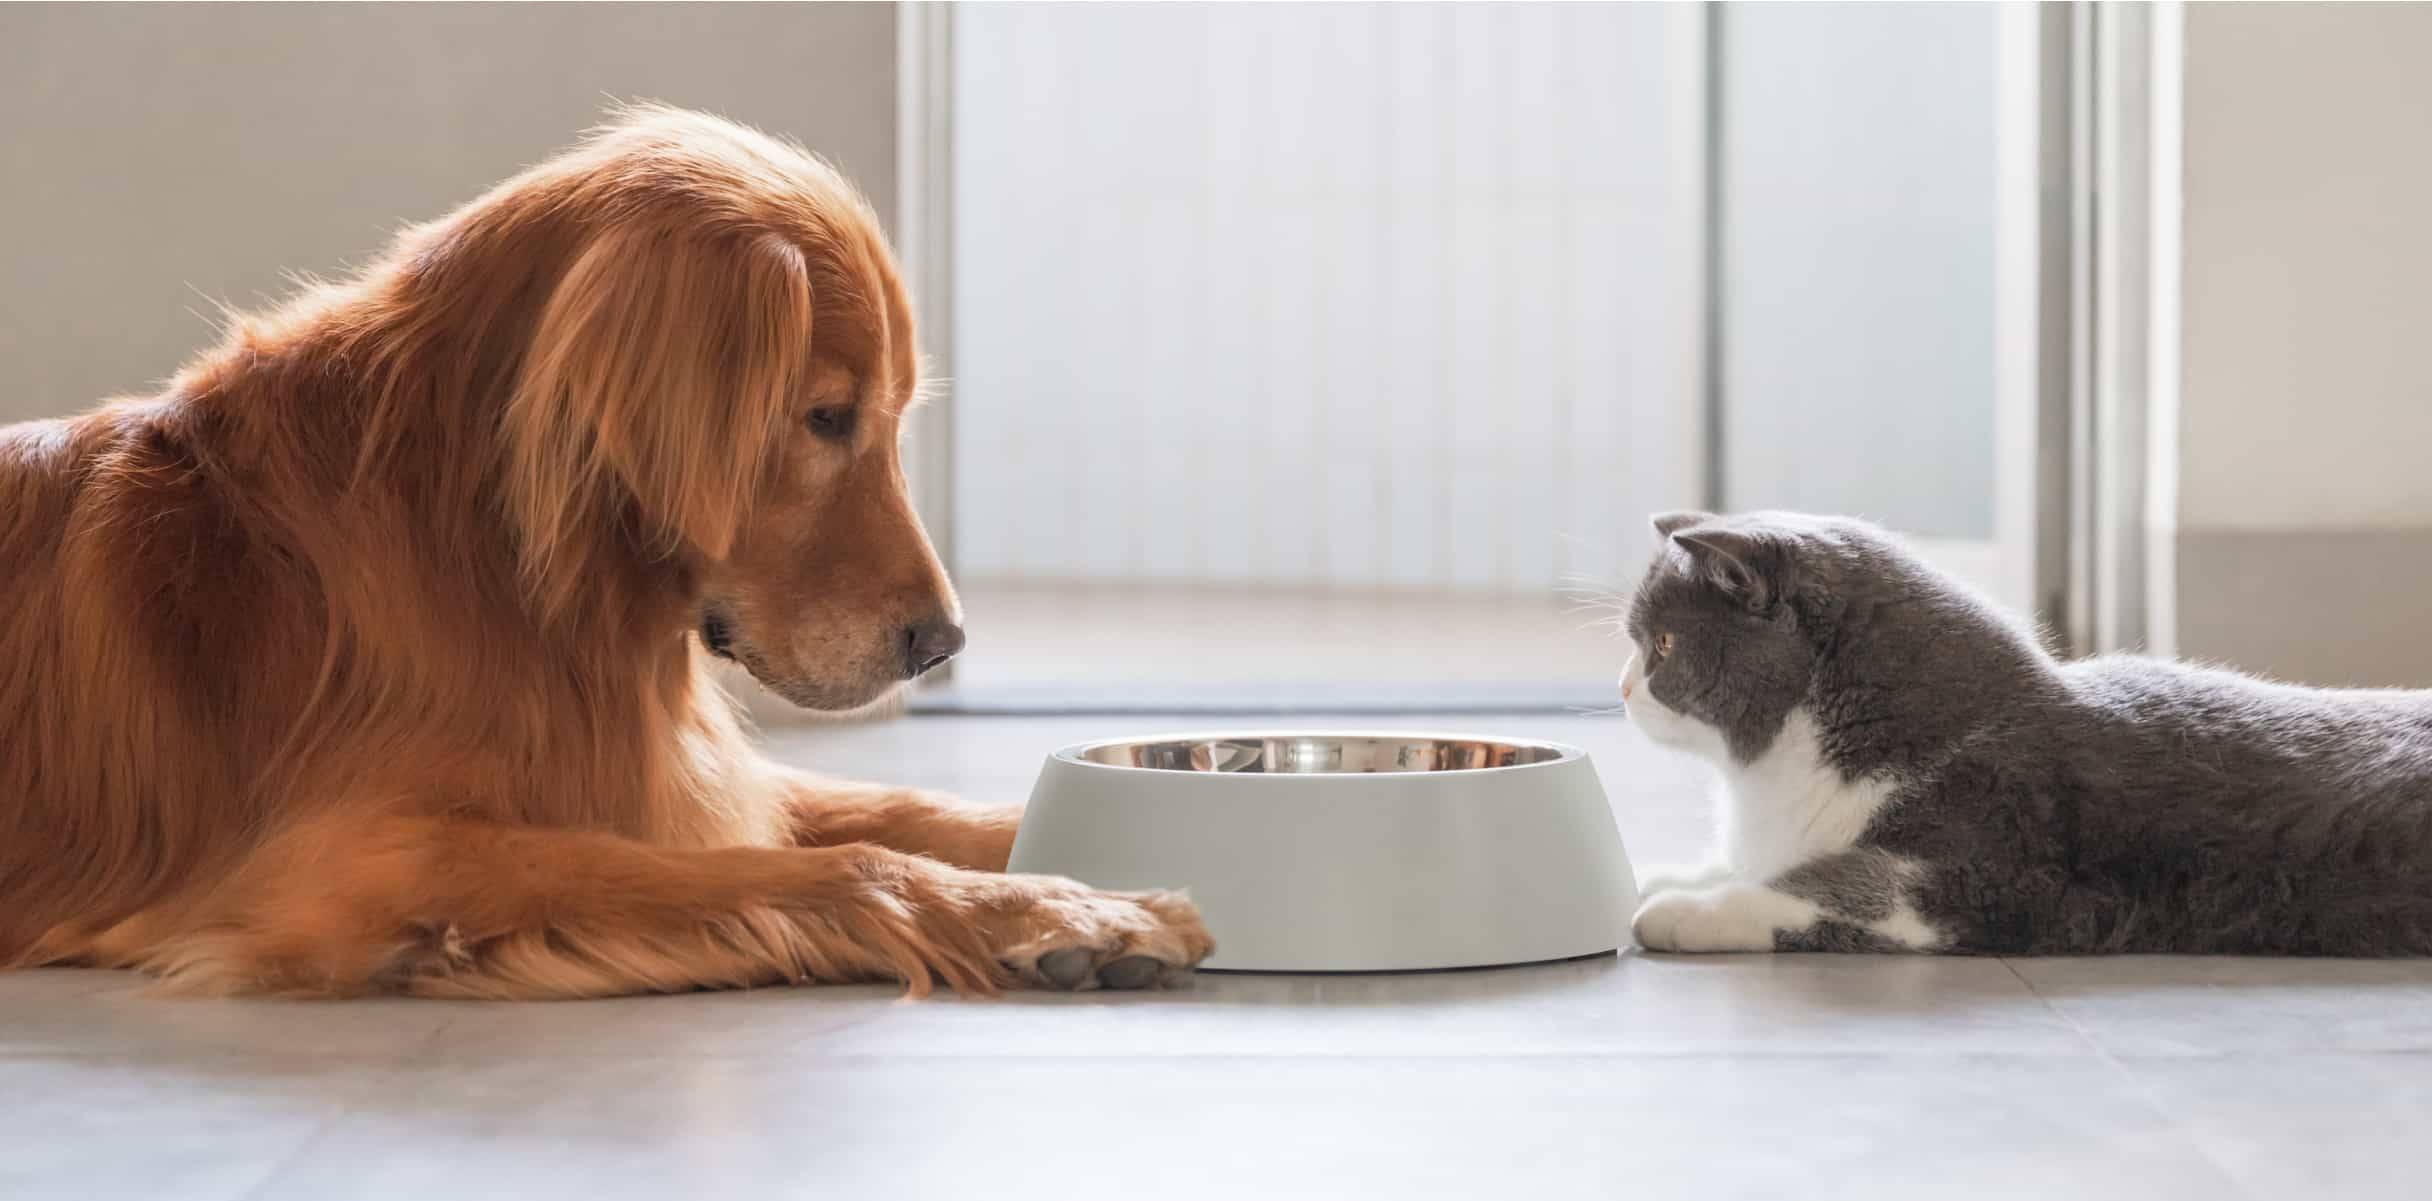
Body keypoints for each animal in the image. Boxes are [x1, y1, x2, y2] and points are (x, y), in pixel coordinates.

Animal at [0, 108, 1216, 1001]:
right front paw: (1061, 908)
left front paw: (1066, 855)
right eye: (827, 418)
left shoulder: (678, 773)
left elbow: (904, 809)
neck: (496, 557)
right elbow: (826, 860)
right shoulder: (354, 859)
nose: (943, 642)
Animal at [1614, 508, 2432, 957]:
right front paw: (1665, 873)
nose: (1620, 688)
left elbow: (1827, 884)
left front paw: (1680, 910)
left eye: (1662, 644)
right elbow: (1754, 862)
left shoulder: (1989, 868)